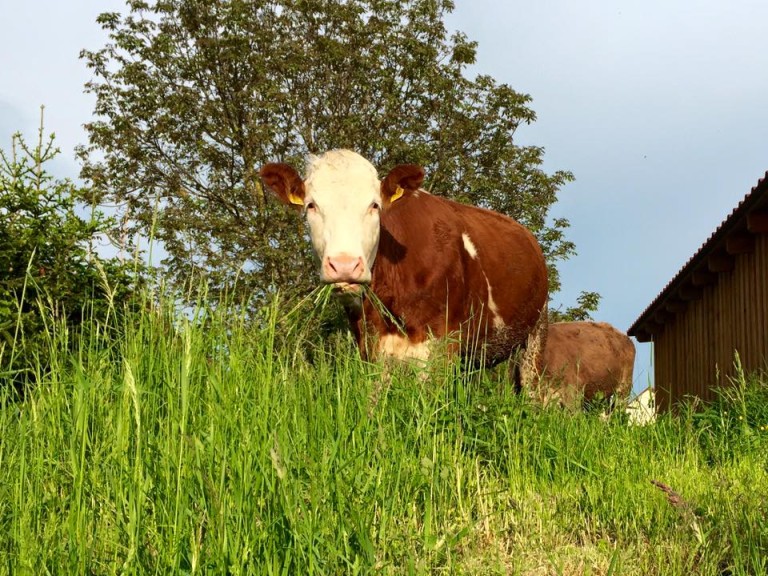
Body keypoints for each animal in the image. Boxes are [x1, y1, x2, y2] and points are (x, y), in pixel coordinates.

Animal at [260, 148, 548, 378]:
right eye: (311, 205)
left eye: (374, 205)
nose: (344, 265)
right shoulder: (371, 347)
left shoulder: (439, 349)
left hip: (535, 337)